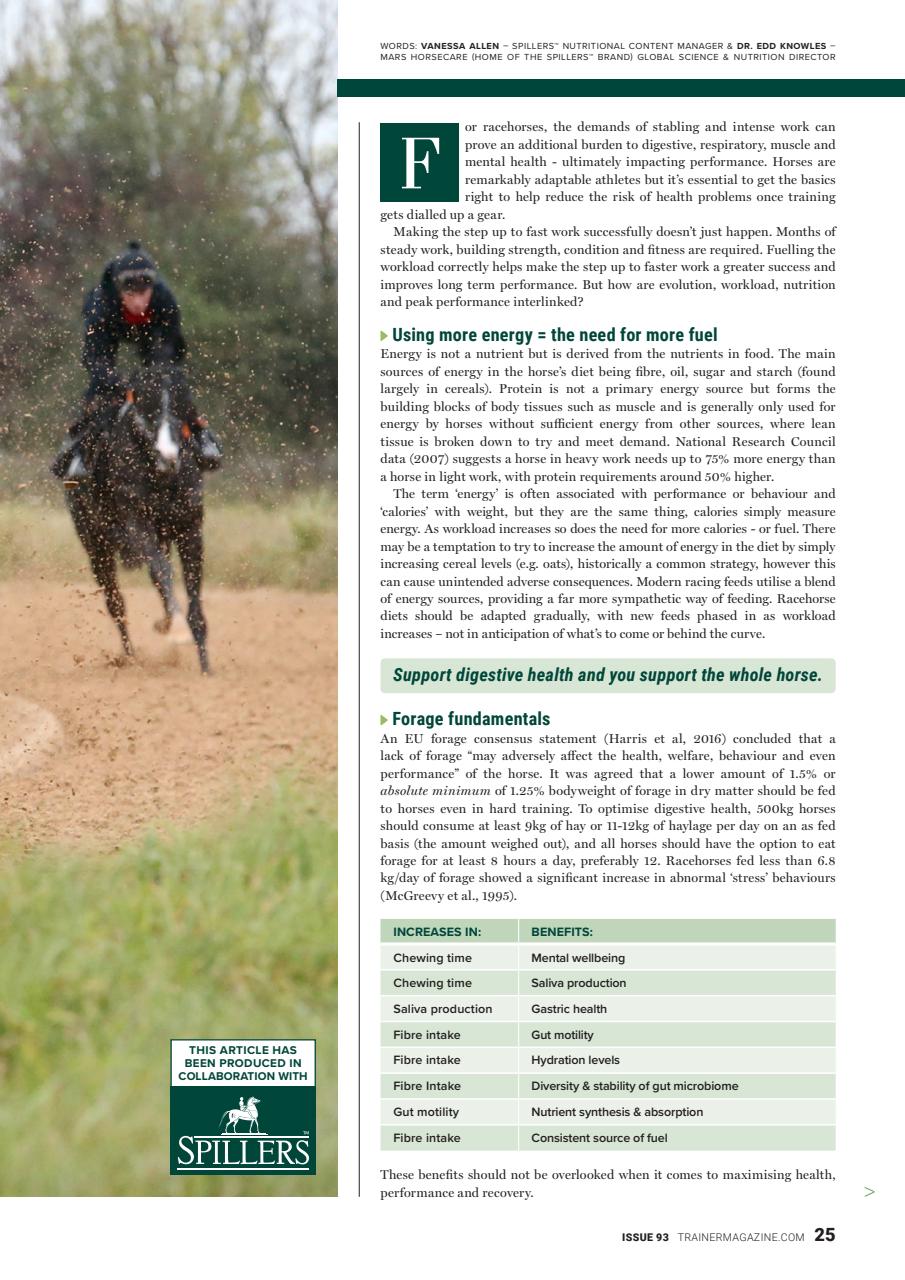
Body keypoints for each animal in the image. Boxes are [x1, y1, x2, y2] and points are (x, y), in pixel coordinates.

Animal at [65, 362, 211, 674]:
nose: (168, 456)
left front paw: (206, 667)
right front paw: (176, 628)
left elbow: (191, 593)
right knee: (116, 603)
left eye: (183, 403)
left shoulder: (189, 529)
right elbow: (161, 573)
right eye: (148, 405)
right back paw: (130, 658)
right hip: (95, 545)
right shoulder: (137, 526)